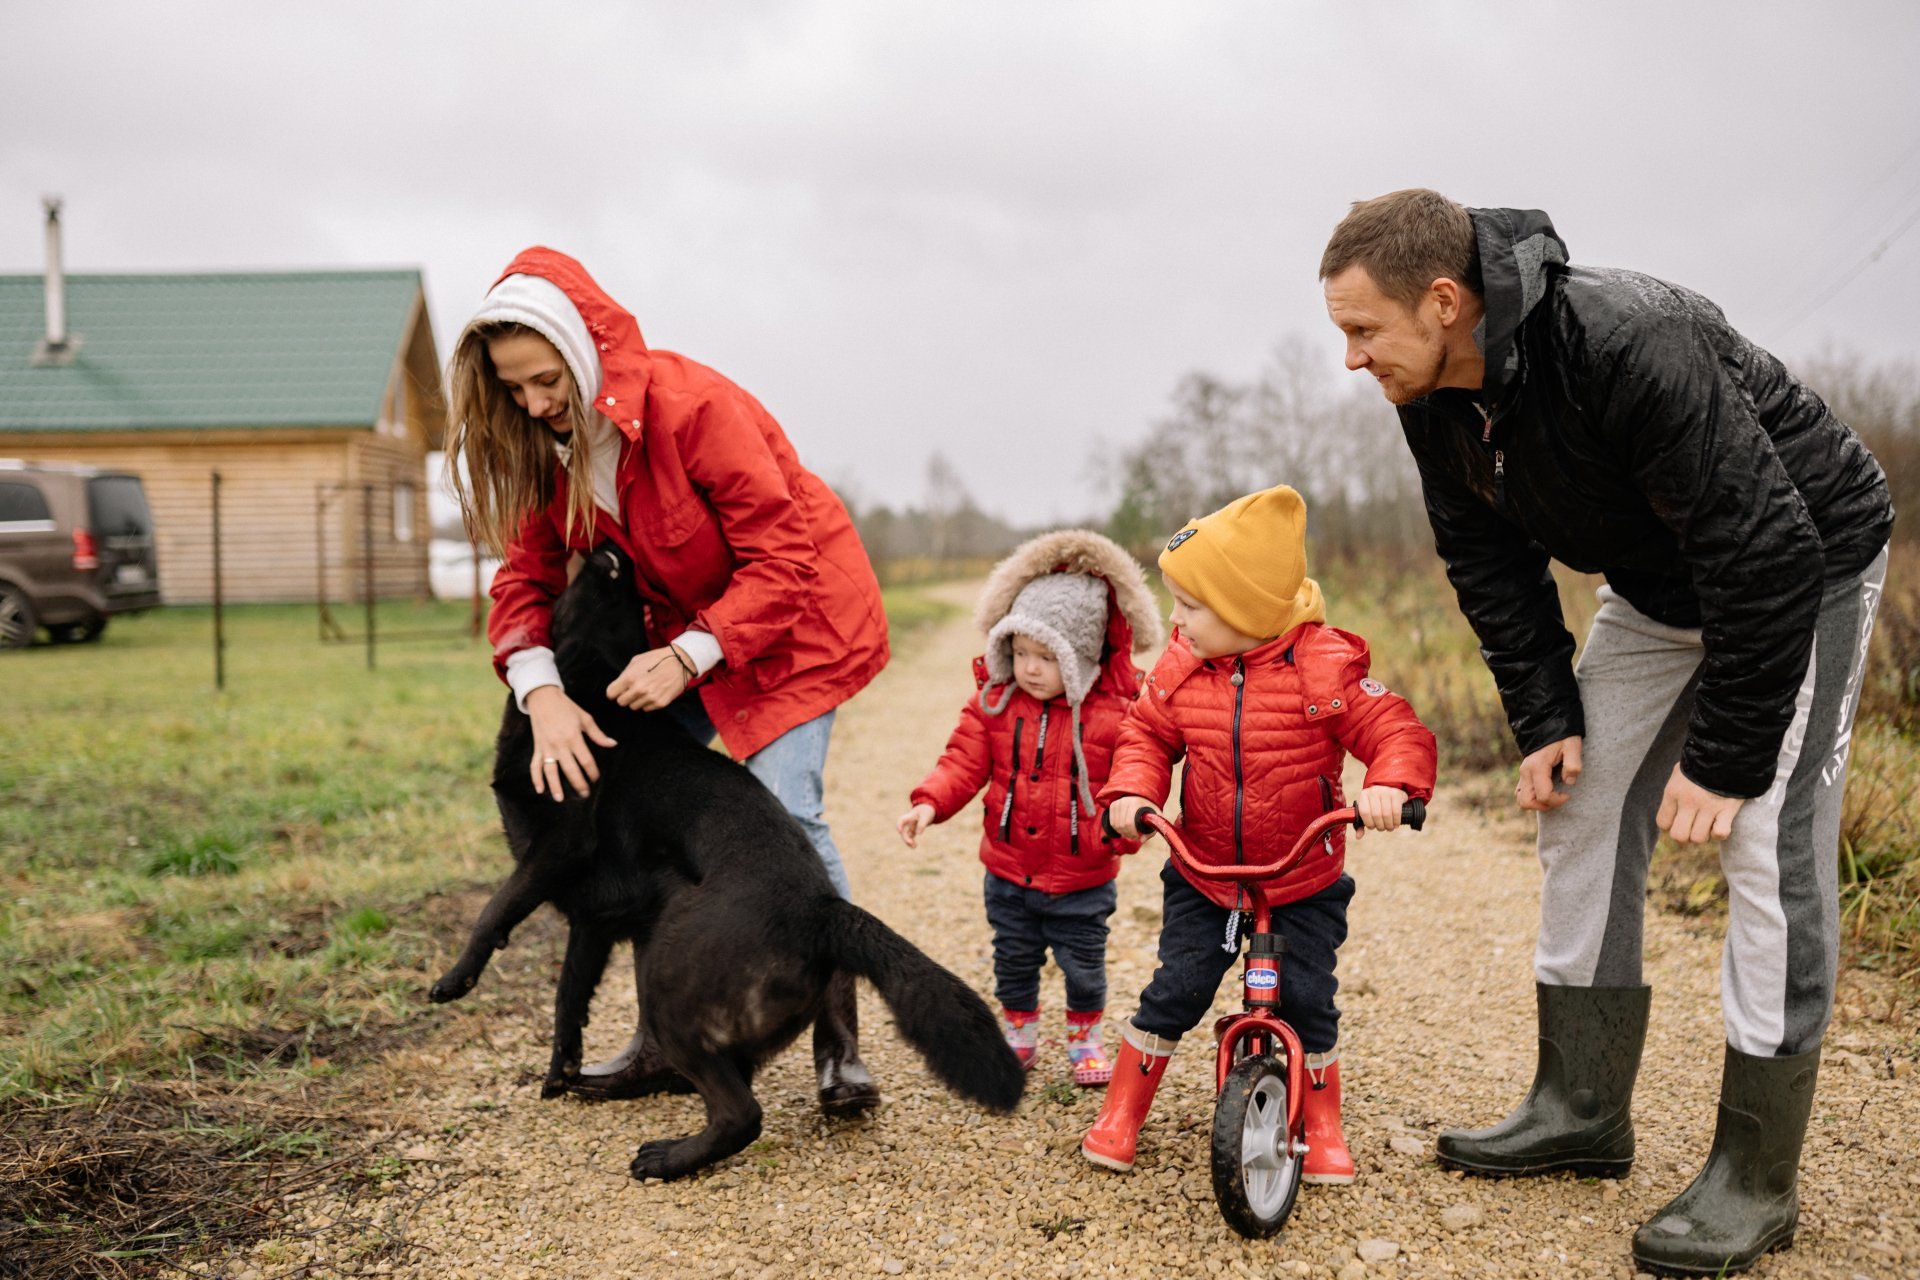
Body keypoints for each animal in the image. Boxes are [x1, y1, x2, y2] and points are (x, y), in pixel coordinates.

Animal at [428, 541, 1029, 1182]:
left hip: (667, 980)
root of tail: (820, 909)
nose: (612, 550)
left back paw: (669, 1158)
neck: (592, 689)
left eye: (610, 583)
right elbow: (568, 998)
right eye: (628, 597)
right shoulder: (592, 923)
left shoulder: (557, 848)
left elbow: (496, 908)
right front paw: (559, 1072)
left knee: (742, 1113)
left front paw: (455, 978)